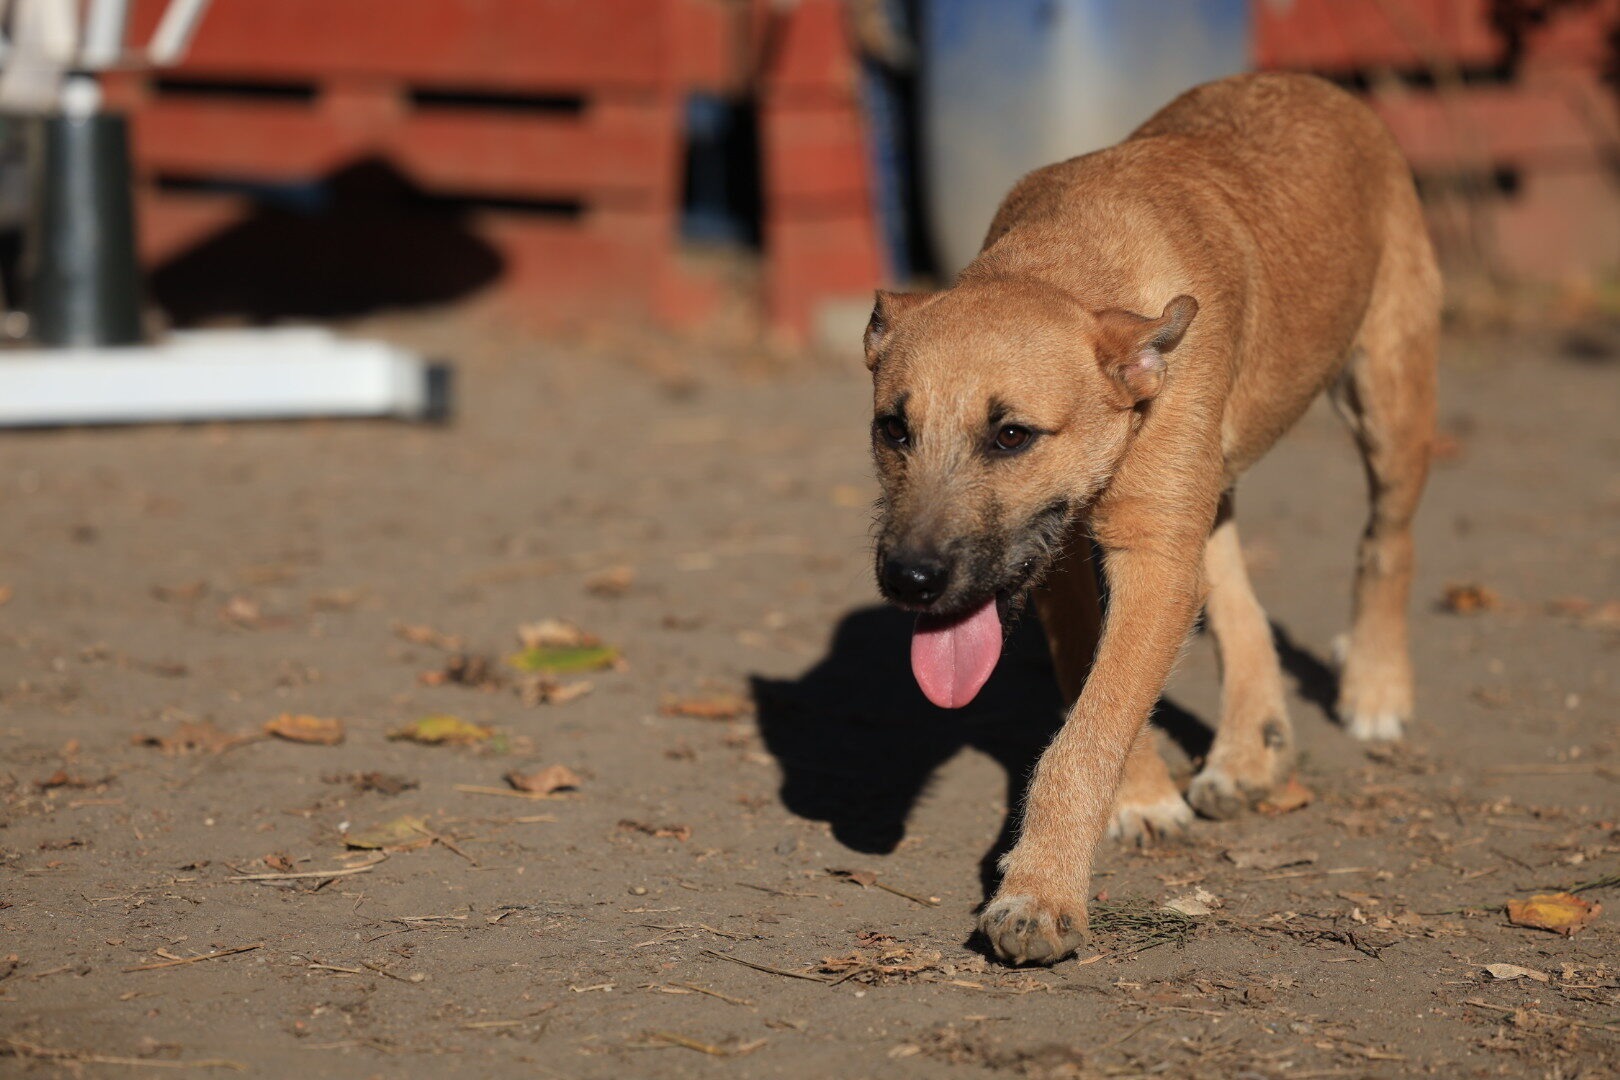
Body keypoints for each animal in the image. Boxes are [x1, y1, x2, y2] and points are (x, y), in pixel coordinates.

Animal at [863, 73, 1439, 964]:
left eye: (1011, 434)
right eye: (894, 429)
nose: (911, 580)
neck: (1068, 266)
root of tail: (1320, 87)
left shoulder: (1152, 557)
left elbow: (1087, 731)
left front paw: (1039, 894)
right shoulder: (1068, 561)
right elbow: (1093, 694)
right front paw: (1138, 797)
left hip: (1388, 395)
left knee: (1388, 541)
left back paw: (1375, 684)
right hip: (1208, 480)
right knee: (1233, 589)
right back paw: (1248, 745)